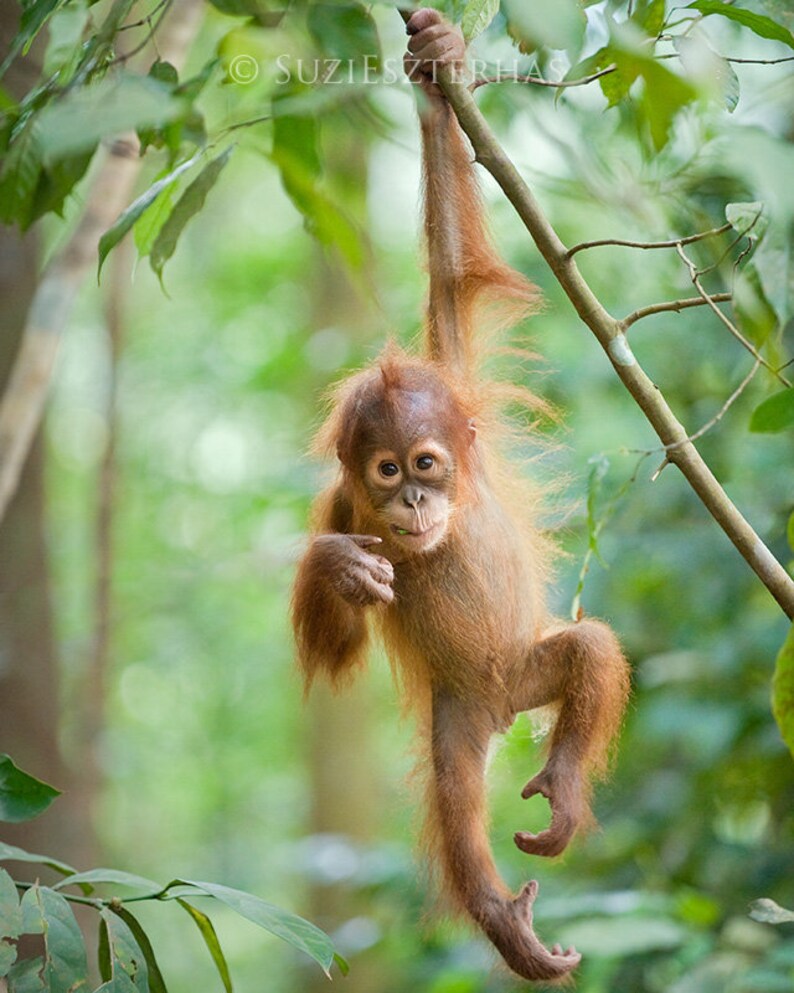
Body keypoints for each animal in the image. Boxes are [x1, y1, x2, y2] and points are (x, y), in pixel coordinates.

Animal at [291, 8, 631, 984]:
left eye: (428, 463)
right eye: (386, 472)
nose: (410, 506)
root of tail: (500, 700)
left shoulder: (457, 375)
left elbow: (449, 269)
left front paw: (437, 59)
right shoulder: (342, 508)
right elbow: (334, 648)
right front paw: (340, 568)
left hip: (525, 663)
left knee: (590, 649)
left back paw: (560, 793)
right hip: (458, 713)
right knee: (452, 795)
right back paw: (504, 918)